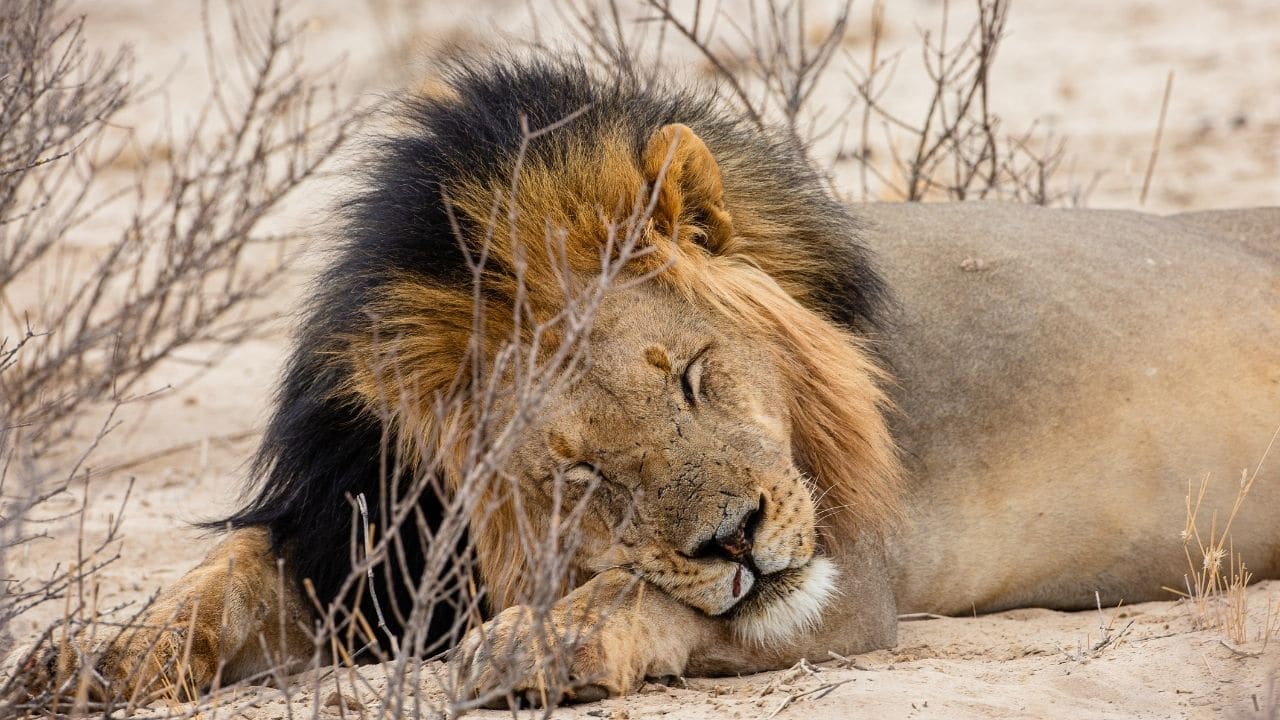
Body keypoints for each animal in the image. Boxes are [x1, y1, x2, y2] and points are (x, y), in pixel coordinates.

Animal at [25, 57, 1280, 708]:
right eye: (580, 471)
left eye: (689, 375)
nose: (735, 537)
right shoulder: (361, 527)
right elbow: (211, 583)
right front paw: (85, 658)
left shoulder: (851, 577)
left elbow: (646, 600)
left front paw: (530, 646)